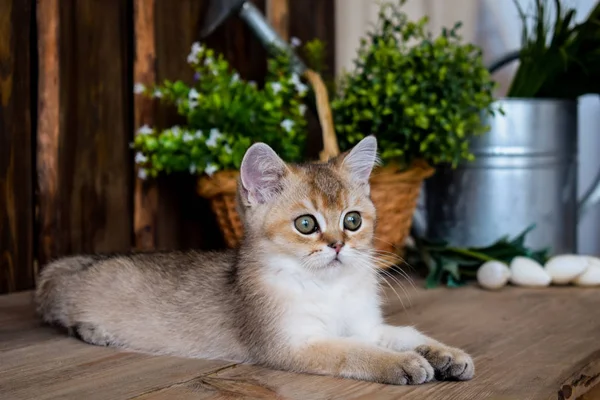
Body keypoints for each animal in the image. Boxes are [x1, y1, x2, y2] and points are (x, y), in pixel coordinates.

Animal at [35, 137, 474, 384]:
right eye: (305, 224)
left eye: (352, 220)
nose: (337, 245)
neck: (328, 288)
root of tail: (79, 262)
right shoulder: (292, 344)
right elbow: (354, 351)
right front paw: (403, 363)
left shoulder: (365, 324)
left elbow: (406, 333)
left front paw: (445, 354)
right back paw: (95, 330)